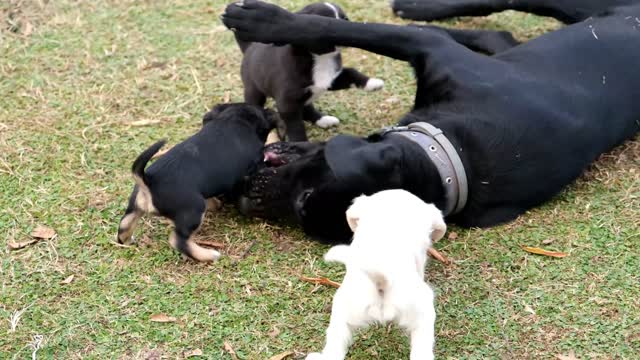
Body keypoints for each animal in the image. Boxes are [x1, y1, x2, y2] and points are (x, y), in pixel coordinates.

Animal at [116, 103, 276, 262]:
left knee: (124, 225)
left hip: (134, 205)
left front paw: (215, 204)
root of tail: (148, 182)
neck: (234, 119)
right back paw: (208, 255)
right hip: (194, 210)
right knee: (178, 240)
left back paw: (127, 241)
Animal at [232, 2, 382, 141]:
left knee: (306, 107)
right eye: (327, 22)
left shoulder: (330, 79)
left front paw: (372, 83)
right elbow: (296, 127)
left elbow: (351, 72)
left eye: (345, 19)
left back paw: (323, 119)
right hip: (254, 90)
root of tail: (249, 47)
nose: (346, 30)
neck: (320, 58)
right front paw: (300, 143)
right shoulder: (288, 103)